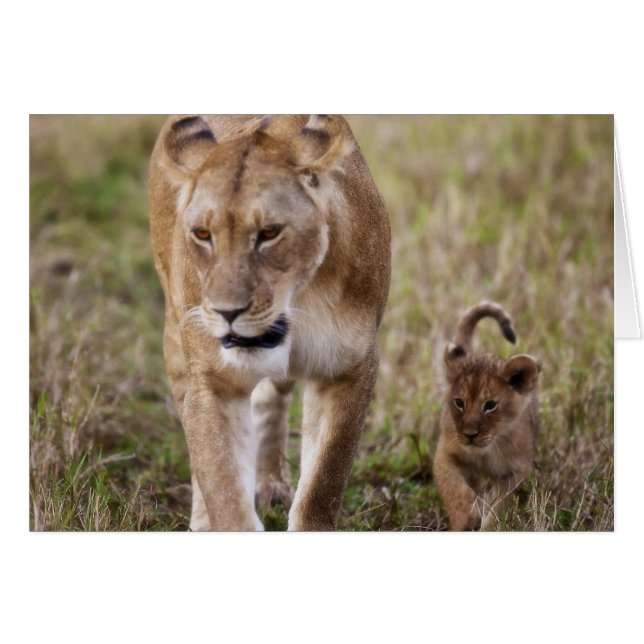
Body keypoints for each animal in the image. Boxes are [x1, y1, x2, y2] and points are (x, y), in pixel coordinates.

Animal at [148, 115, 391, 530]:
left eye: (269, 233)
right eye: (203, 234)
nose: (227, 312)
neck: (299, 301)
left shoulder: (349, 369)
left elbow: (324, 481)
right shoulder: (212, 382)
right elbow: (223, 486)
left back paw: (270, 484)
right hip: (176, 339)